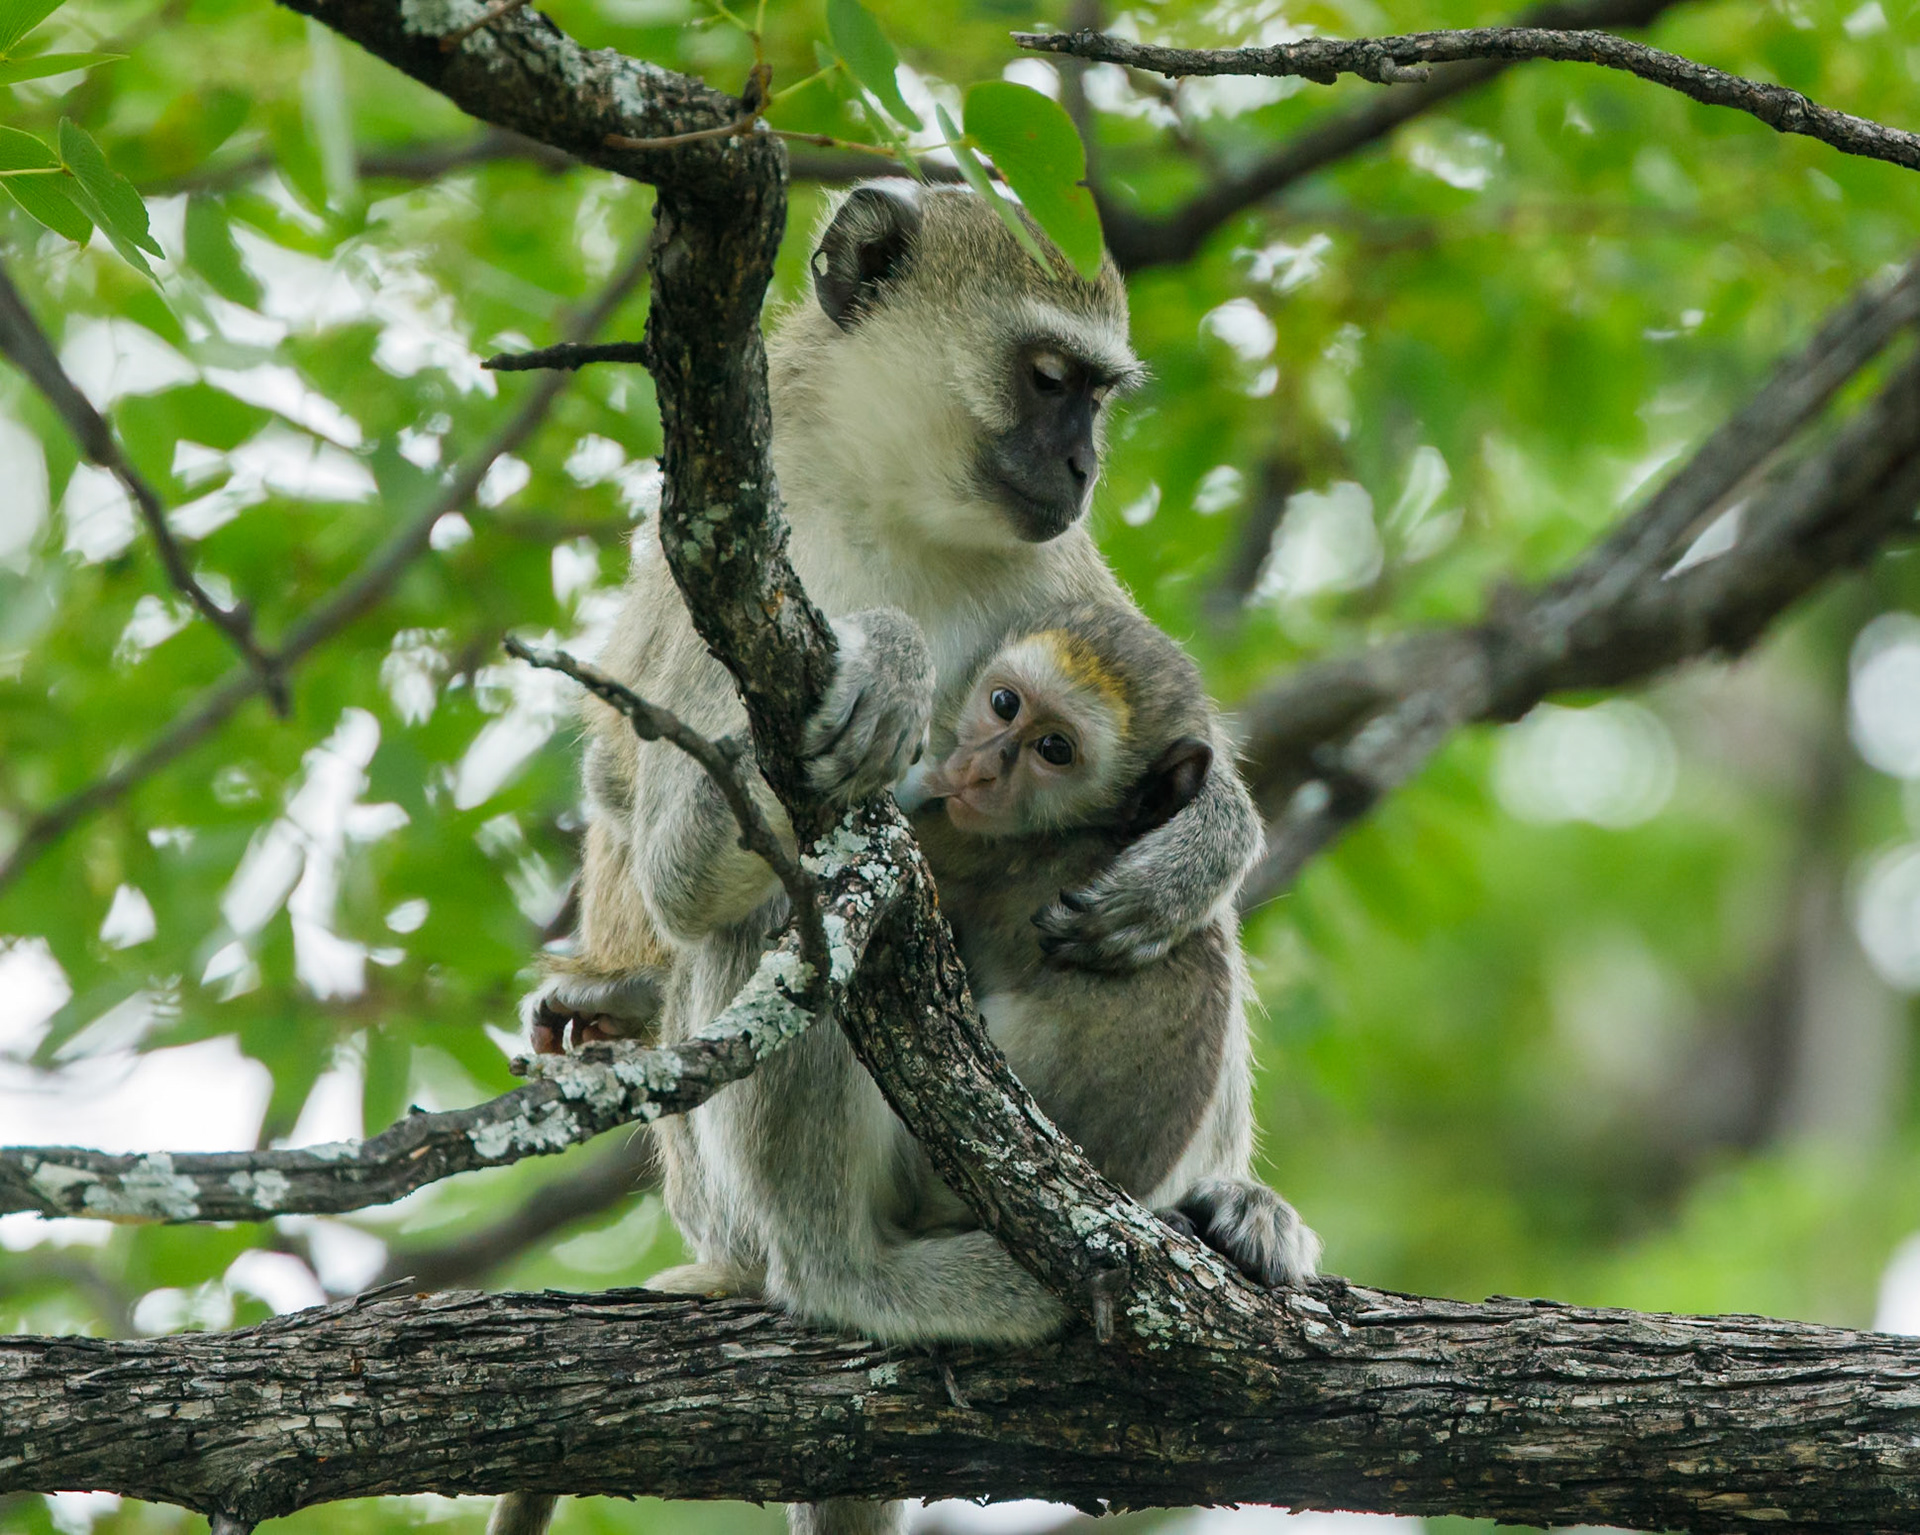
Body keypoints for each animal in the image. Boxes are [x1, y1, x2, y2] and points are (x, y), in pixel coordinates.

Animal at [495, 183, 1284, 1535]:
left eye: (1097, 396)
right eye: (1047, 377)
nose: (1082, 467)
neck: (888, 508)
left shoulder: (1052, 576)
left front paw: (1205, 839)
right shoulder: (711, 574)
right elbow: (674, 859)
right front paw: (890, 659)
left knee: (1193, 943)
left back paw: (1227, 1206)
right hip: (735, 1204)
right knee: (789, 911)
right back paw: (849, 1271)